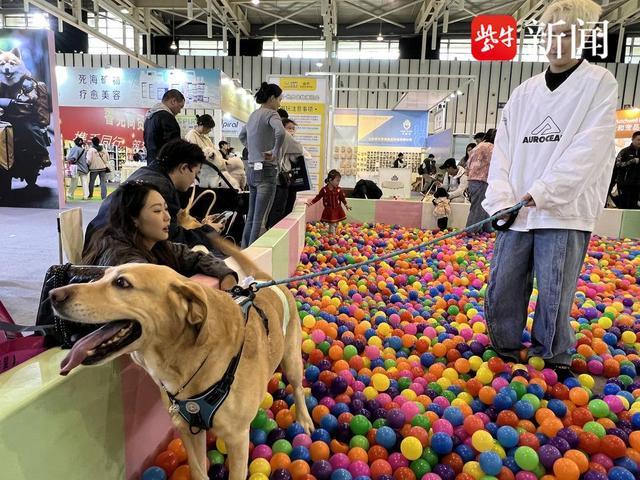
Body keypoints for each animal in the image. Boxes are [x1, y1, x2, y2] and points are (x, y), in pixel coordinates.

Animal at [49, 238, 312, 478]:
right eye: (100, 276)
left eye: (122, 283)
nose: (53, 294)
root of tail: (263, 281)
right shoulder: (188, 430)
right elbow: (198, 471)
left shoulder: (237, 439)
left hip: (292, 360)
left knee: (298, 388)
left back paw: (304, 419)